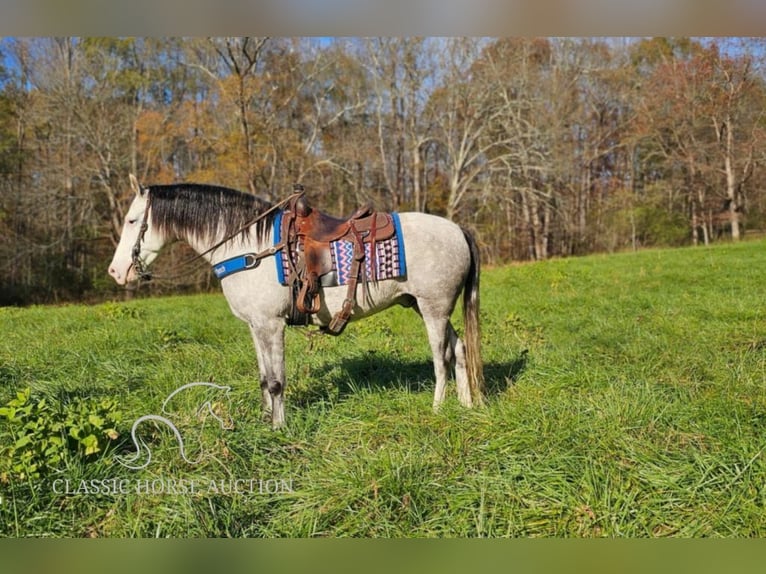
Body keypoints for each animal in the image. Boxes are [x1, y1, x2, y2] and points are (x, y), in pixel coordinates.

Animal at [109, 176, 486, 428]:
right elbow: (264, 378)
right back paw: (467, 404)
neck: (249, 247)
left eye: (132, 220)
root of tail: (458, 230)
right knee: (460, 349)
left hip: (434, 309)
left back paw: (437, 409)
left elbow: (277, 381)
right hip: (429, 307)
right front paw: (265, 421)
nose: (115, 271)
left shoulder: (271, 325)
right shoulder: (256, 327)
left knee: (441, 359)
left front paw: (280, 428)